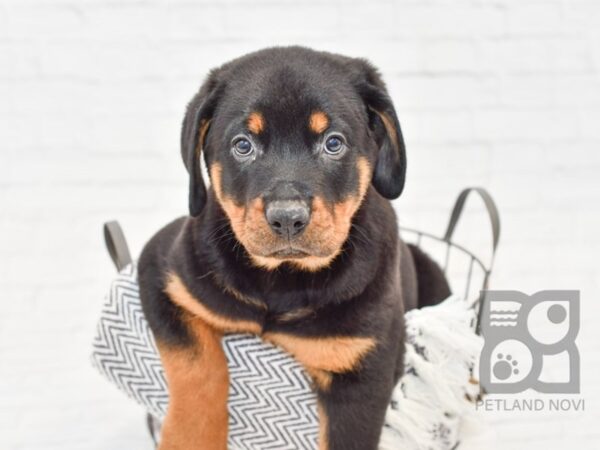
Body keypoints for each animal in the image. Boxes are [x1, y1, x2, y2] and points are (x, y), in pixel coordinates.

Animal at [139, 46, 450, 450]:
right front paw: (189, 437)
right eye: (243, 145)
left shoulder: (364, 371)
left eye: (333, 143)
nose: (287, 218)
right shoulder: (164, 276)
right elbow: (196, 365)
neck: (282, 281)